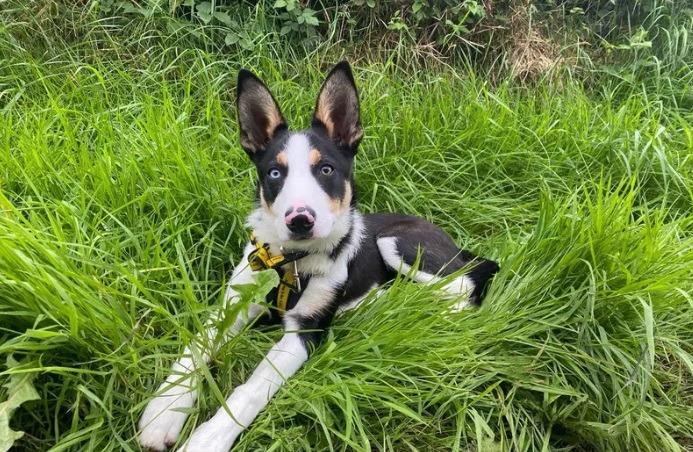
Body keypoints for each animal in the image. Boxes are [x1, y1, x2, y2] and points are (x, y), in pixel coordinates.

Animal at [138, 61, 498, 452]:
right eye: (274, 173)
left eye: (326, 169)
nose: (300, 220)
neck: (290, 262)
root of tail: (451, 241)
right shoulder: (233, 304)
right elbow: (195, 348)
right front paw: (164, 411)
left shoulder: (305, 329)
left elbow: (252, 388)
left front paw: (209, 438)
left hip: (396, 242)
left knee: (463, 286)